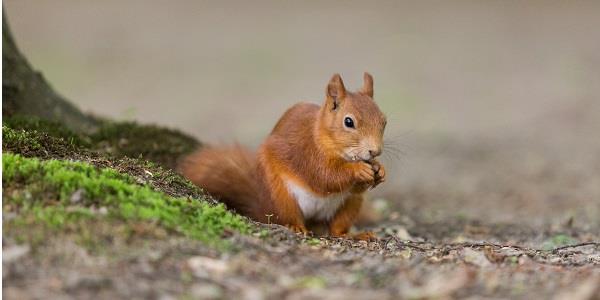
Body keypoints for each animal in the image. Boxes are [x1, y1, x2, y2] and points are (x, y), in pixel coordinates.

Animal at [180, 74, 386, 240]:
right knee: (286, 217)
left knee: (336, 229)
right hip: (280, 195)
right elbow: (325, 176)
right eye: (348, 122)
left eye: (384, 121)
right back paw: (296, 227)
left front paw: (380, 170)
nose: (375, 151)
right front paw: (359, 169)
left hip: (350, 204)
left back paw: (354, 235)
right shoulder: (307, 153)